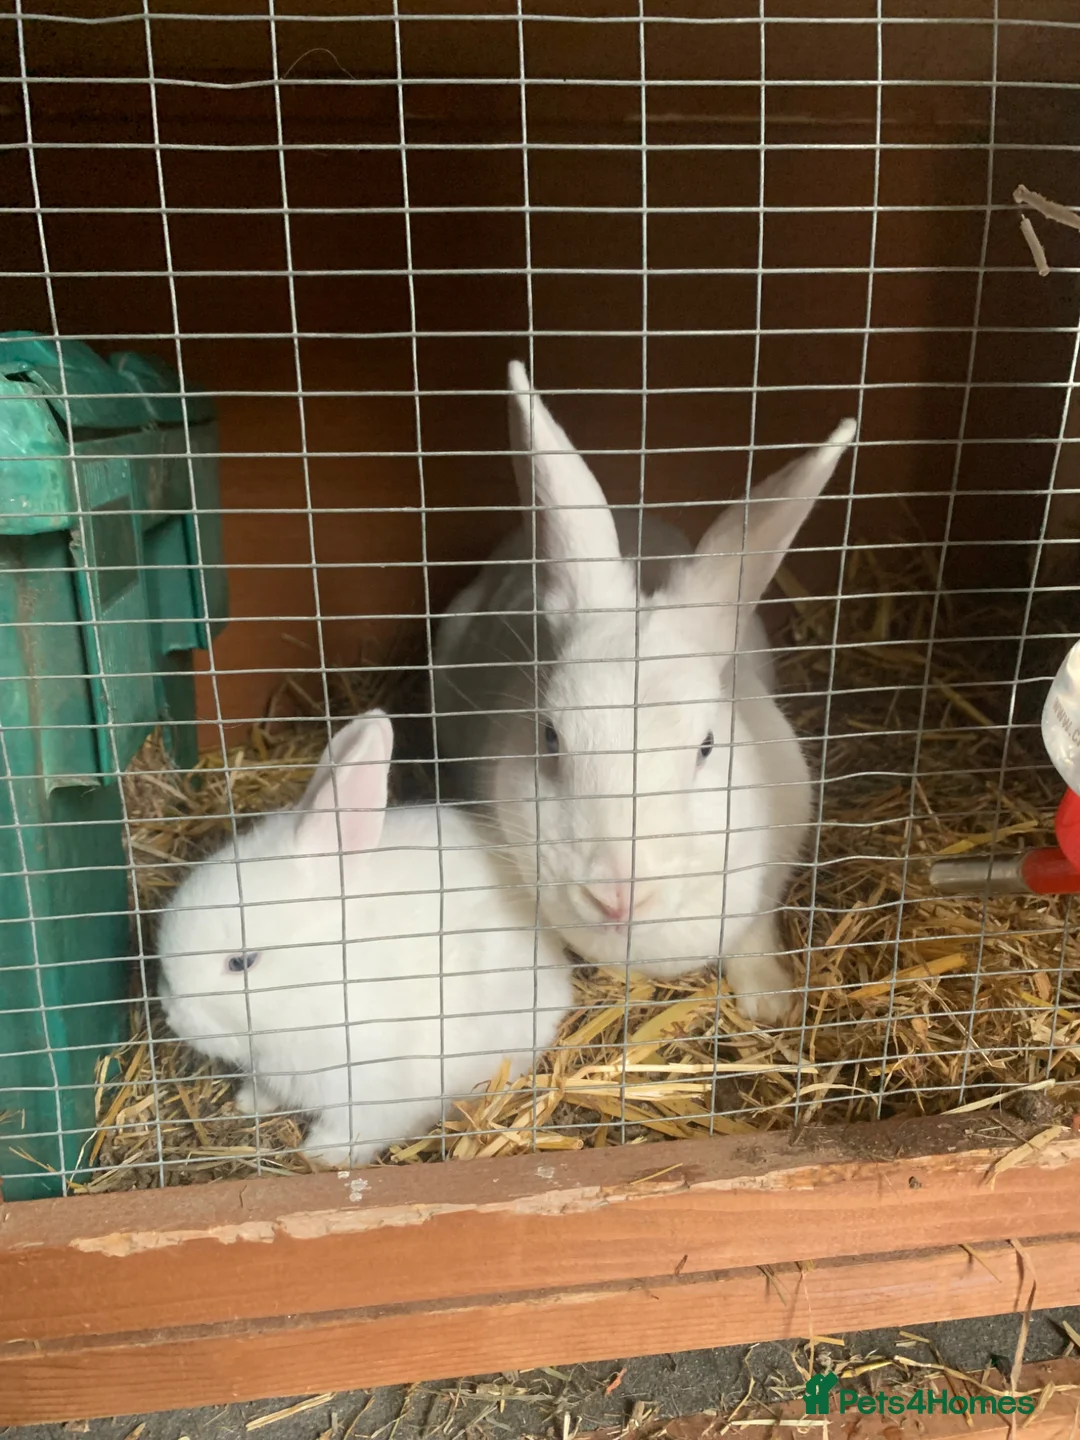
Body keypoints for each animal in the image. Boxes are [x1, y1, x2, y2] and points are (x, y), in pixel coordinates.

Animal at [156, 710, 574, 1169]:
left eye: (241, 963)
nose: (173, 1017)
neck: (317, 982)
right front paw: (249, 1103)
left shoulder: (371, 1088)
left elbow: (355, 1131)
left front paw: (320, 1153)